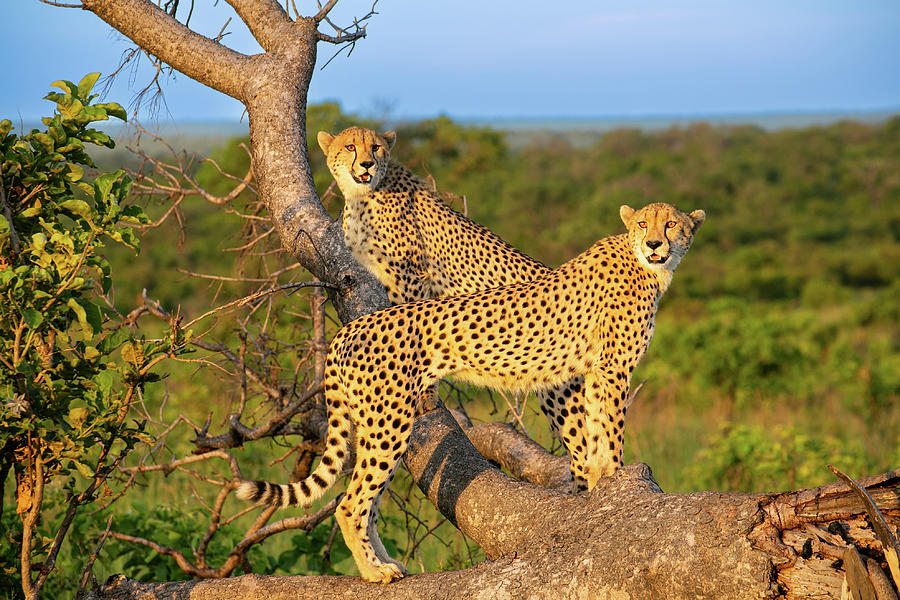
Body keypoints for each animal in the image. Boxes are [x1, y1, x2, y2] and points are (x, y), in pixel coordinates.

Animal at [237, 202, 704, 580]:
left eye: (671, 224)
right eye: (643, 223)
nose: (655, 243)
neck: (645, 266)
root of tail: (348, 328)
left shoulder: (592, 372)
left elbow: (593, 432)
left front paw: (597, 481)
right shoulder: (612, 369)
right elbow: (610, 429)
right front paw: (616, 478)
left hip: (377, 422)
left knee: (368, 502)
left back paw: (386, 564)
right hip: (389, 421)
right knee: (351, 504)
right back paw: (374, 573)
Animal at [318, 125, 612, 488]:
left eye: (375, 147)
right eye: (350, 147)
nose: (367, 164)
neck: (363, 195)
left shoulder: (412, 274)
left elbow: (412, 318)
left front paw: (425, 396)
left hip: (559, 388)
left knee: (584, 443)